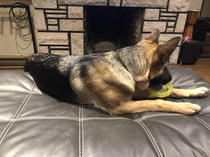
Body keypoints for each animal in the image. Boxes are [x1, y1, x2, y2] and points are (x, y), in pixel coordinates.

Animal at [23, 29, 209, 115]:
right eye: (166, 67)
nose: (170, 78)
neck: (124, 65)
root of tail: (31, 56)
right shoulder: (121, 106)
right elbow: (157, 102)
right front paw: (186, 106)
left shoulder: (135, 92)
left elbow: (170, 91)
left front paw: (196, 91)